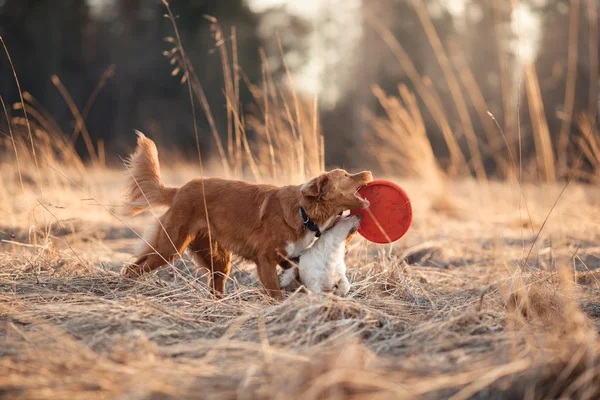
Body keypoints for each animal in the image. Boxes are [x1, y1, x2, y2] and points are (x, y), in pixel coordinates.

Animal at [124, 133, 372, 298]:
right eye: (346, 175)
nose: (368, 172)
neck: (303, 213)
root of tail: (179, 190)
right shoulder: (265, 260)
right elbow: (275, 292)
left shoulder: (289, 258)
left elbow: (295, 272)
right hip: (169, 248)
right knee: (133, 268)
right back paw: (123, 287)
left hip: (218, 259)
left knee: (216, 286)